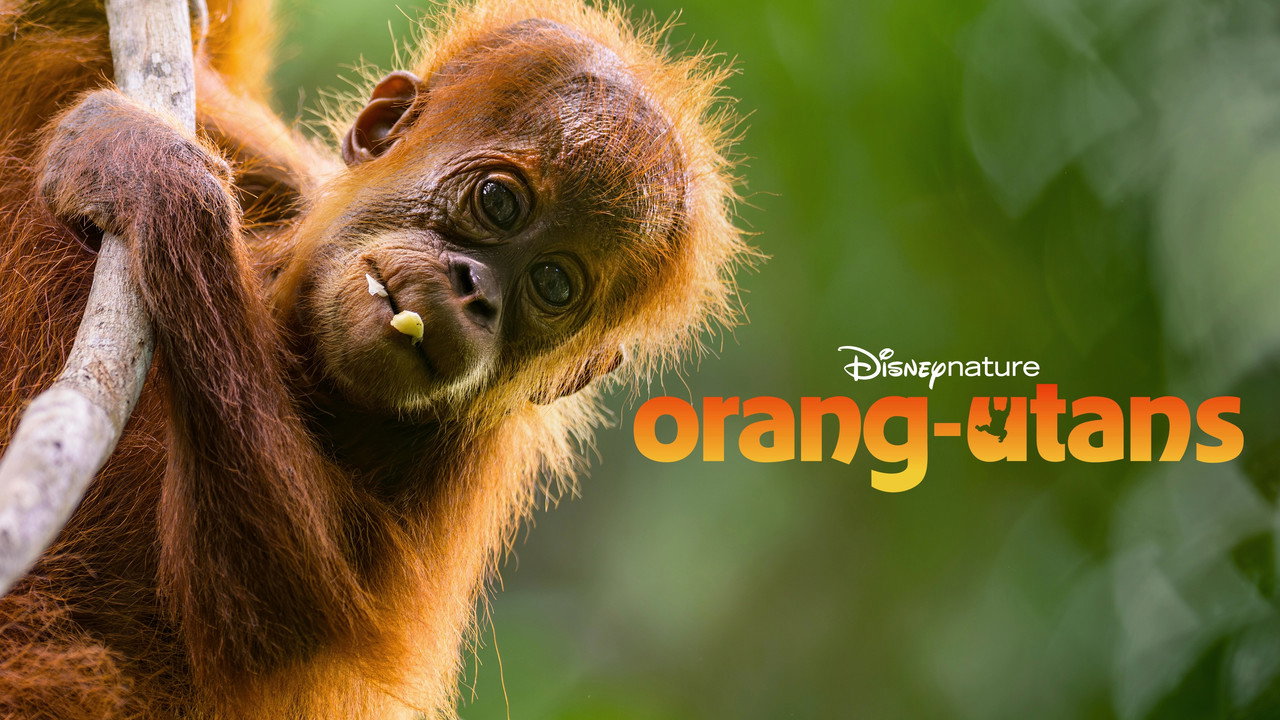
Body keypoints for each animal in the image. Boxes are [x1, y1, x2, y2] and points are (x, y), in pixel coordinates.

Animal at [0, 0, 750, 718]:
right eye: (499, 201)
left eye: (554, 285)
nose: (476, 293)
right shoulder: (279, 177)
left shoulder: (456, 473)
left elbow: (272, 615)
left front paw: (152, 177)